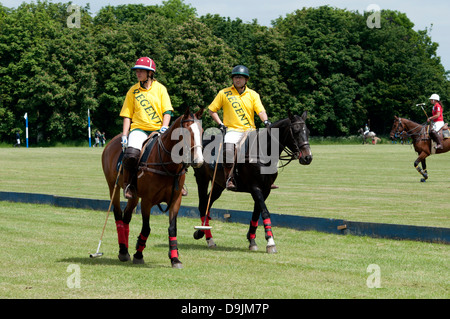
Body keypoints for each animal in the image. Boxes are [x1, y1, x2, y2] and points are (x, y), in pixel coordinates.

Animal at [102, 108, 204, 270]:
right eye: (186, 132)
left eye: (201, 131)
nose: (198, 161)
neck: (168, 166)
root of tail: (111, 142)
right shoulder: (147, 200)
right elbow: (146, 228)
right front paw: (138, 255)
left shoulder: (176, 200)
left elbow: (172, 228)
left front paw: (175, 258)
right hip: (113, 186)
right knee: (118, 214)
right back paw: (123, 251)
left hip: (134, 194)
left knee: (126, 216)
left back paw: (126, 251)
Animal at [193, 111, 312, 254]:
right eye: (295, 131)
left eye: (308, 132)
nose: (308, 157)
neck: (264, 153)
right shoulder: (255, 187)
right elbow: (265, 211)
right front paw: (270, 242)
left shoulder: (266, 189)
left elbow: (257, 213)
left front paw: (252, 240)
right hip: (202, 179)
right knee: (202, 204)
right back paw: (205, 236)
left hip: (218, 184)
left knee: (207, 203)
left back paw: (205, 234)